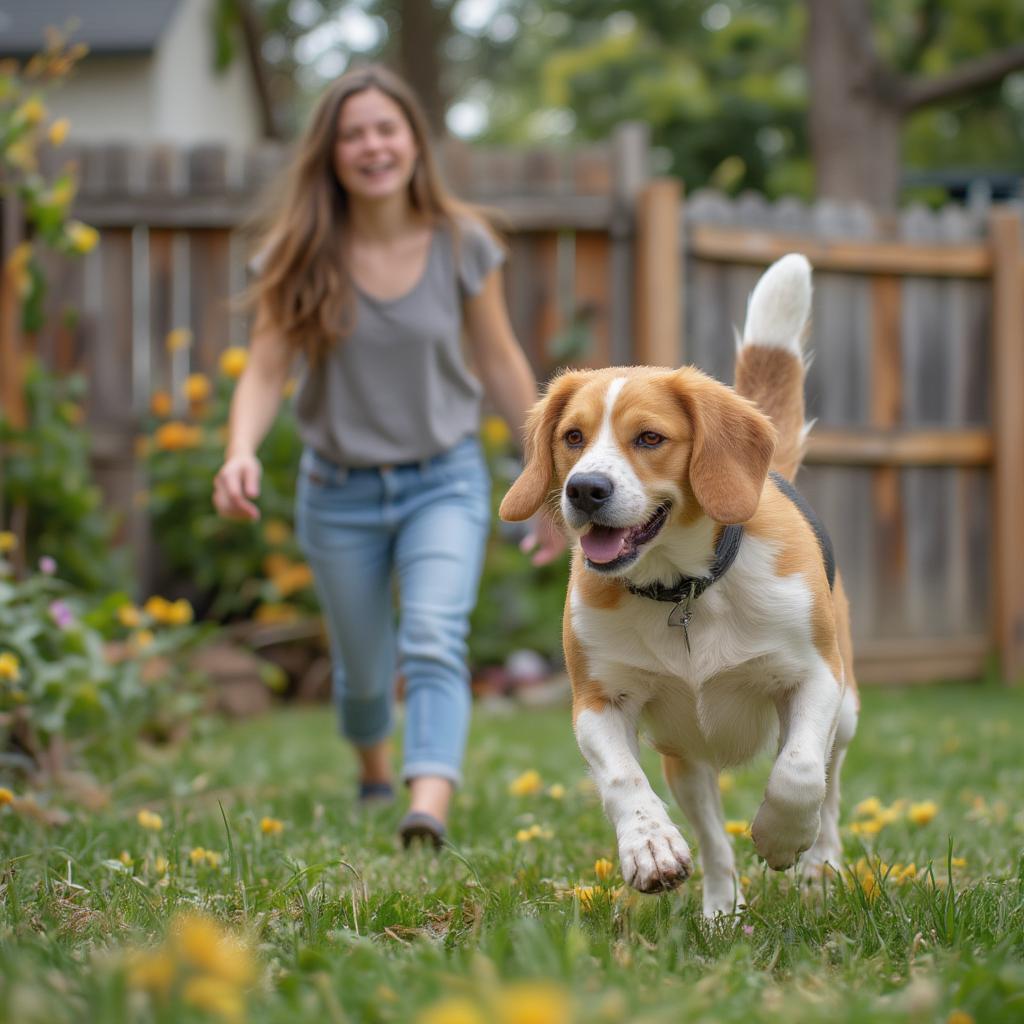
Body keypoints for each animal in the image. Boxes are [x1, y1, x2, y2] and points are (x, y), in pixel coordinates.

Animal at [499, 256, 860, 921]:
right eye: (572, 437)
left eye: (649, 438)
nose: (584, 489)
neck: (683, 590)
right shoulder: (597, 703)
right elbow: (623, 780)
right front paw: (650, 847)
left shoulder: (816, 675)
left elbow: (799, 772)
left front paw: (779, 837)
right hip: (685, 758)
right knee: (714, 840)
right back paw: (721, 911)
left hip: (844, 711)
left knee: (828, 786)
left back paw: (819, 866)